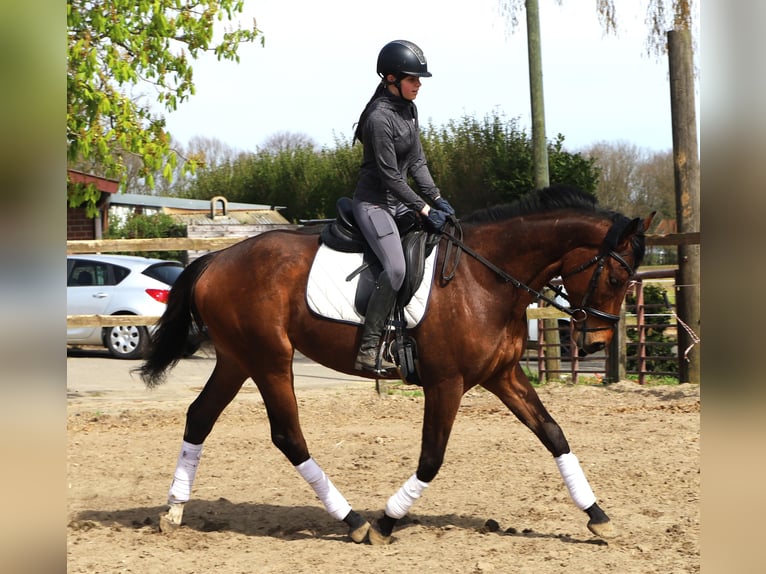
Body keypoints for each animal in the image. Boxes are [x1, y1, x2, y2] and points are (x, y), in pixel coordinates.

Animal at [138, 185, 653, 545]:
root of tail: (216, 260)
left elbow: (553, 434)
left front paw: (598, 516)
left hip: (237, 359)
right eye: (616, 276)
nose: (595, 342)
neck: (485, 278)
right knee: (288, 436)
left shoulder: (502, 375)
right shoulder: (447, 383)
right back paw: (353, 521)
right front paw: (387, 521)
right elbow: (432, 457)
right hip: (269, 361)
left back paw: (174, 510)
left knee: (200, 417)